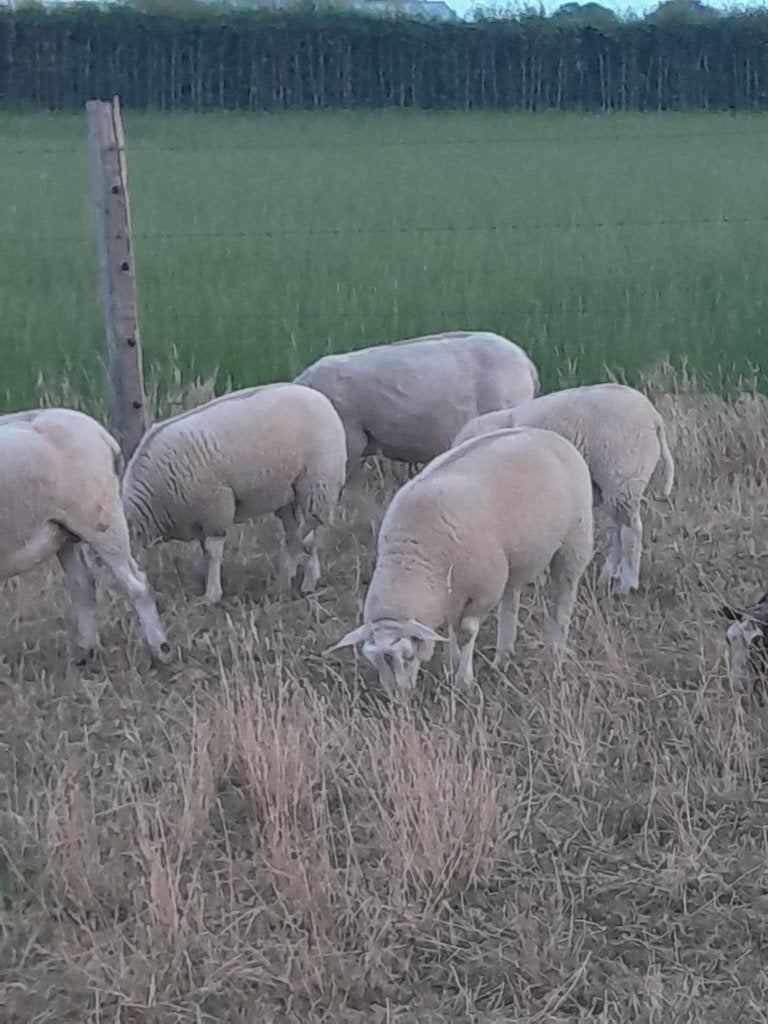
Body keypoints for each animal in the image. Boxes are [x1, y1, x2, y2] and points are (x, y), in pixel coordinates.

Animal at [0, 407, 170, 666]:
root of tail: (101, 434)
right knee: (83, 585)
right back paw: (84, 653)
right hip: (64, 533)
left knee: (136, 583)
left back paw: (160, 649)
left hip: (100, 520)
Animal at [122, 383, 347, 604]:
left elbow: (212, 553)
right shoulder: (202, 517)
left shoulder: (215, 508)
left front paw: (212, 595)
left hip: (317, 482)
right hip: (288, 493)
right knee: (296, 534)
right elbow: (205, 552)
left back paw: (301, 579)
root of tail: (318, 395)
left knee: (308, 532)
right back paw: (289, 581)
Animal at [331, 426, 593, 692]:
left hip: (574, 543)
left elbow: (466, 632)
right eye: (373, 661)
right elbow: (448, 629)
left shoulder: (482, 590)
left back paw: (556, 657)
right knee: (511, 598)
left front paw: (463, 680)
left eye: (408, 656)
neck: (414, 559)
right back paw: (503, 658)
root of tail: (547, 434)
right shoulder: (448, 590)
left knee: (563, 599)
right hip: (513, 559)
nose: (398, 695)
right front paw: (452, 661)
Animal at [453, 383, 675, 594]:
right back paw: (608, 576)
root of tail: (653, 416)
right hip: (612, 485)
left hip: (622, 473)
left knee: (631, 530)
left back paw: (628, 582)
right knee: (618, 528)